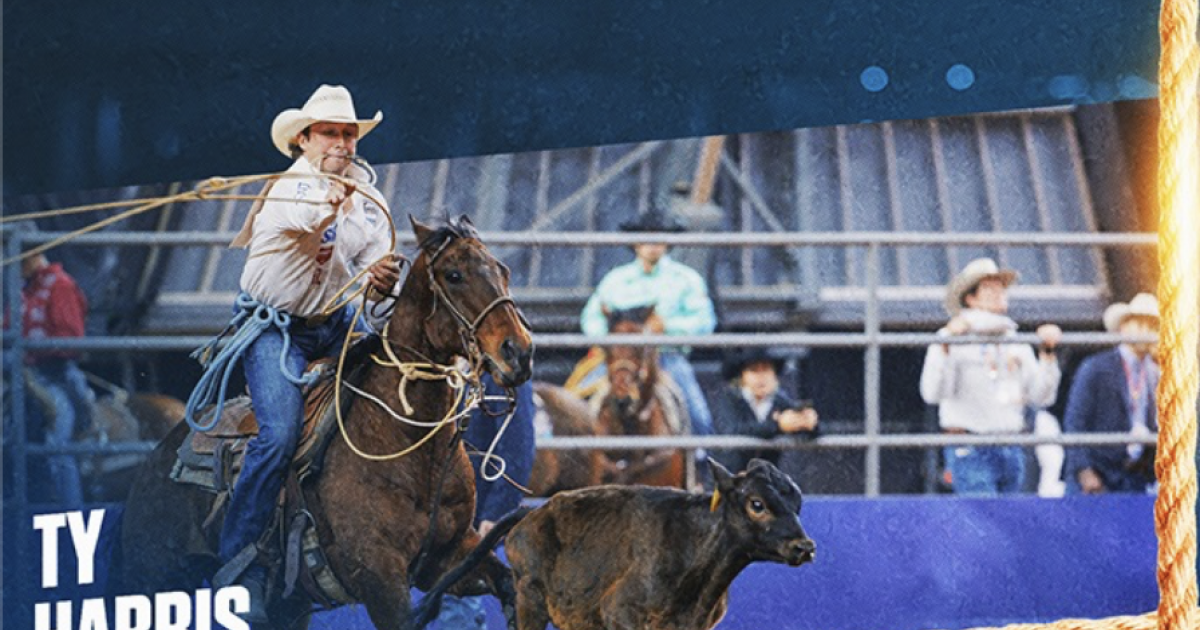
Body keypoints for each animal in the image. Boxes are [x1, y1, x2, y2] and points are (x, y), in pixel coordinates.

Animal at [113, 213, 535, 624]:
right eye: (454, 275)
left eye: (503, 270)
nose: (518, 352)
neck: (410, 448)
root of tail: (160, 454)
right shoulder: (380, 578)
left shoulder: (450, 555)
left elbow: (506, 581)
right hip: (150, 574)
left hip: (288, 606)